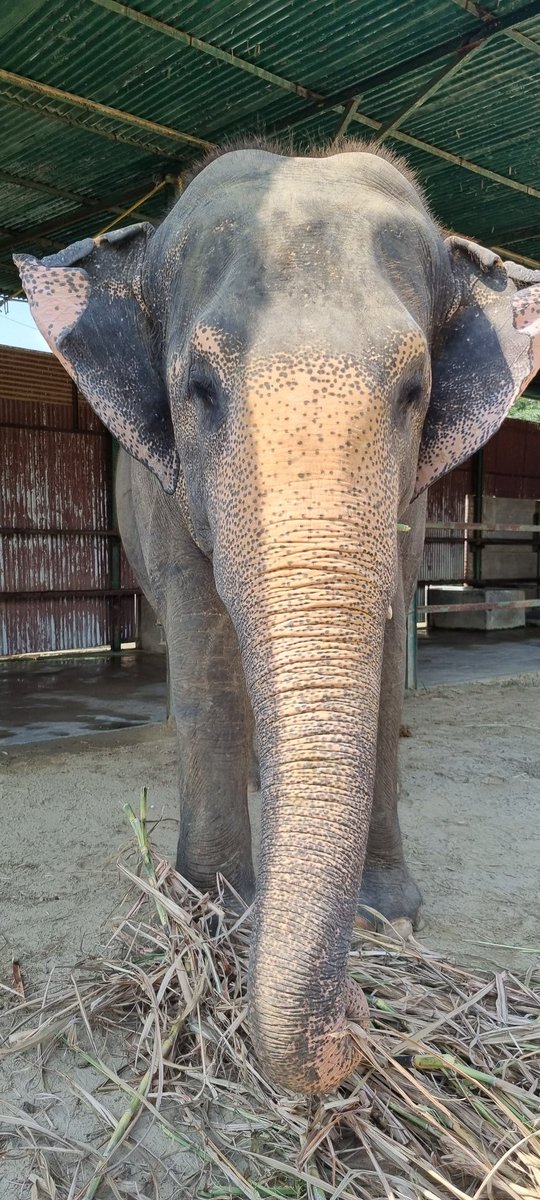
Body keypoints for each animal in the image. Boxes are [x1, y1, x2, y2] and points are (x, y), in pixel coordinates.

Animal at [16, 139, 540, 1096]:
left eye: (415, 389)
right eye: (198, 387)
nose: (355, 1017)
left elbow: (384, 647)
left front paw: (388, 921)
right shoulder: (166, 489)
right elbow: (205, 651)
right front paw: (217, 914)